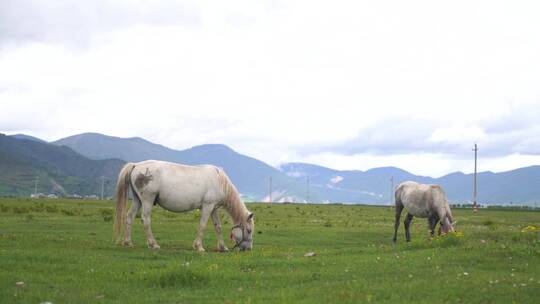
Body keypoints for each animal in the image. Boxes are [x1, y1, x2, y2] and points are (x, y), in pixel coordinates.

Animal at [112, 159, 255, 252]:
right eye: (249, 230)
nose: (248, 249)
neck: (220, 181)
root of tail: (136, 165)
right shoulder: (207, 207)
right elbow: (202, 225)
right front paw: (199, 247)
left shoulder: (214, 208)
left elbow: (218, 227)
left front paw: (223, 247)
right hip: (147, 200)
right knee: (146, 219)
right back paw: (153, 244)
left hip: (138, 200)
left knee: (129, 217)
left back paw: (128, 242)